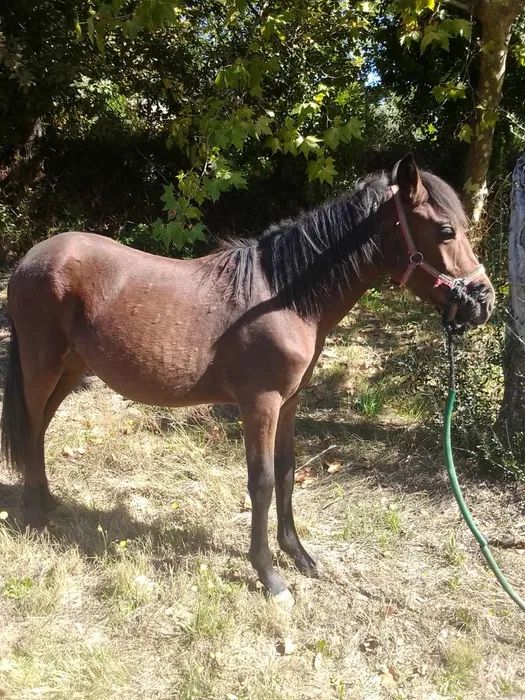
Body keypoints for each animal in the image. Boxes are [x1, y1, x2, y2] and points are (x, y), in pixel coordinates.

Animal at [0, 155, 495, 603]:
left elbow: (288, 473)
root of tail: (28, 260)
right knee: (30, 426)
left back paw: (46, 501)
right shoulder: (261, 403)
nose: (484, 300)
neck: (283, 298)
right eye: (446, 231)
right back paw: (34, 513)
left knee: (39, 429)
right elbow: (262, 483)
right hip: (42, 366)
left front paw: (299, 555)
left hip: (71, 369)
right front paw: (270, 577)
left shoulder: (289, 403)